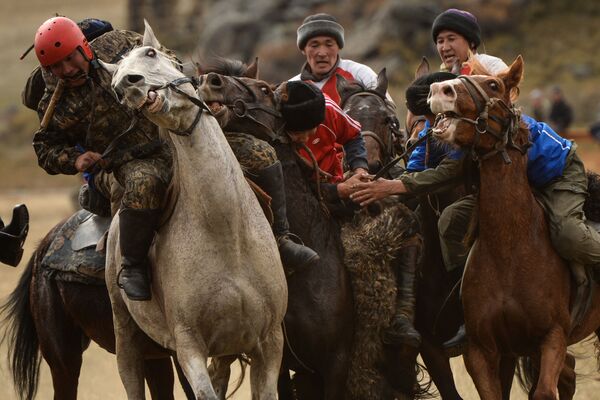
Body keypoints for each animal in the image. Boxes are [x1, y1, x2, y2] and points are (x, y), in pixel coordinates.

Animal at [103, 22, 288, 400]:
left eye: (150, 54)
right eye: (113, 86)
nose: (129, 86)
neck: (227, 233)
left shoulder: (269, 343)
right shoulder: (189, 346)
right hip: (127, 333)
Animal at [426, 54, 600, 398]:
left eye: (493, 84)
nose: (440, 90)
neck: (510, 248)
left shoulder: (552, 337)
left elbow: (544, 391)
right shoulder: (483, 351)